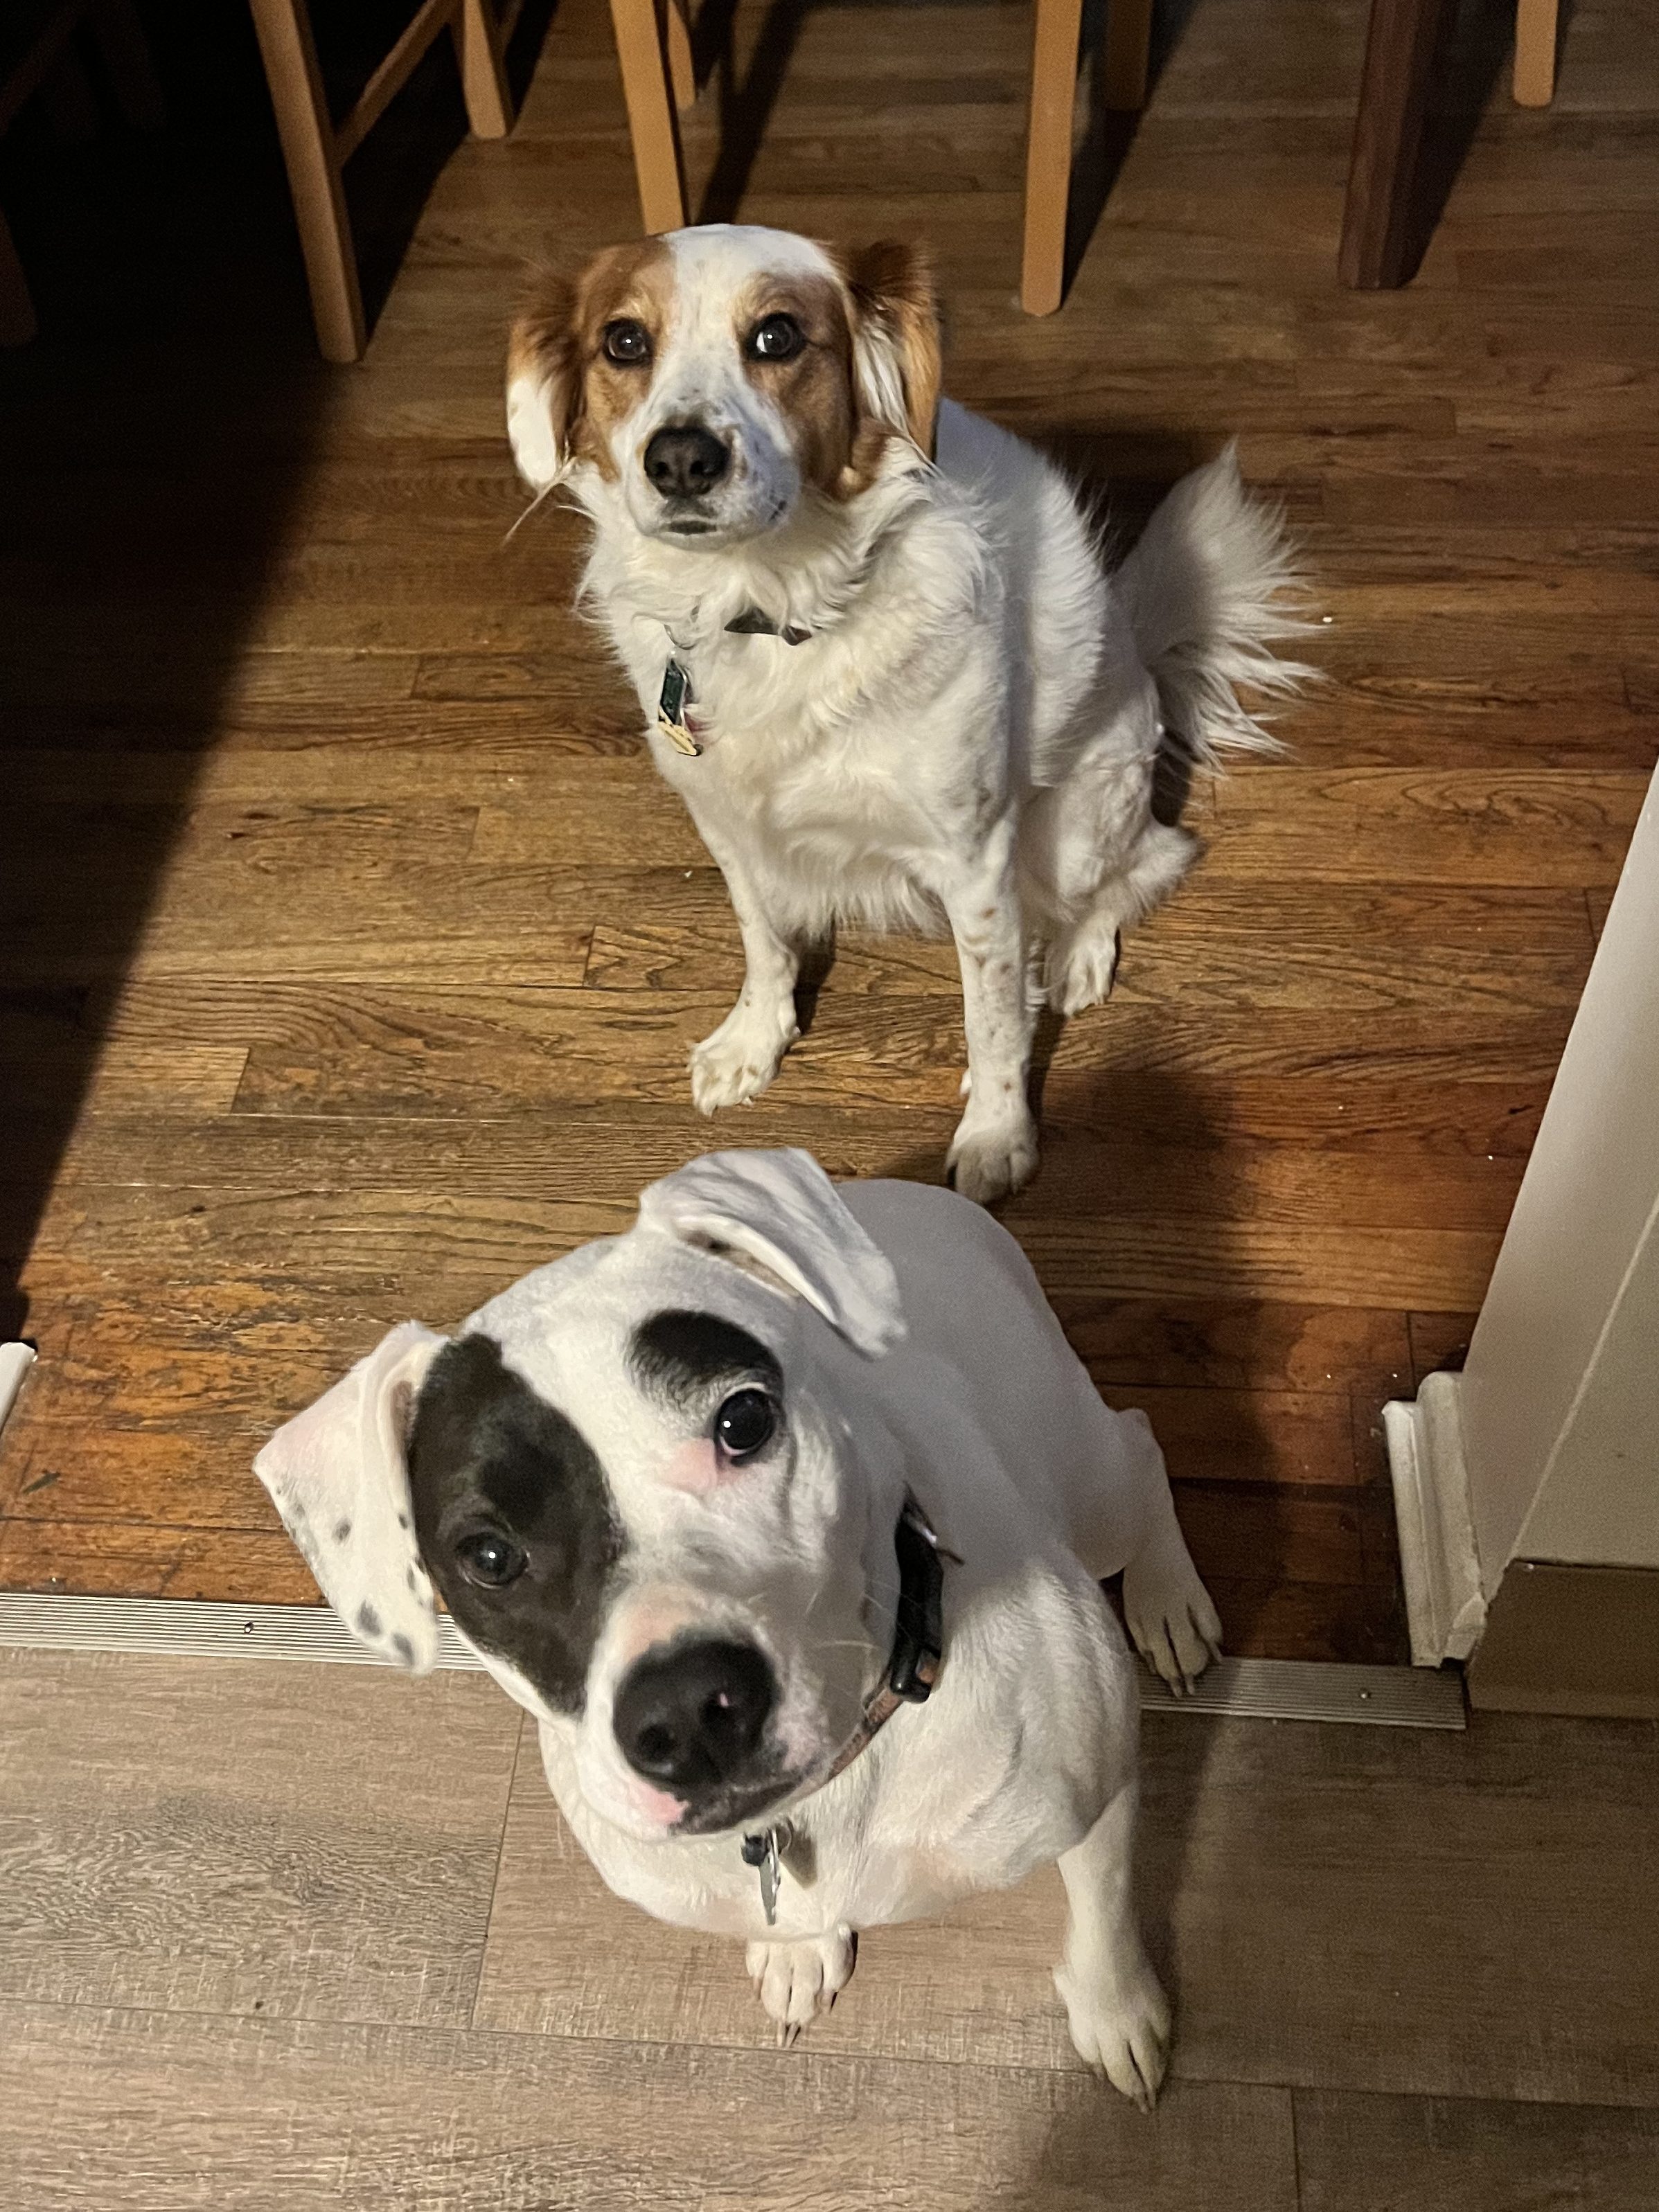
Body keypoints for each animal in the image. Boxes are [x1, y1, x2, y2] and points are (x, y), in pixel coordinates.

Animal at [256, 1147, 1223, 2104]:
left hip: (1090, 1479)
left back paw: (1167, 1598)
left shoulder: (1098, 1793)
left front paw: (1116, 2010)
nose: (686, 1710)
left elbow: (1104, 1914)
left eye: (743, 1418)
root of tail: (898, 1193)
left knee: (1141, 1448)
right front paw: (797, 1950)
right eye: (488, 1554)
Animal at [505, 225, 1306, 1202]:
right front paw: (755, 1039)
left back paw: (1076, 956)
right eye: (623, 342)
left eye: (776, 336)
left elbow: (991, 1017)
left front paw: (996, 1133)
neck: (772, 605)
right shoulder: (726, 823)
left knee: (1135, 869)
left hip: (1076, 820)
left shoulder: (977, 856)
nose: (682, 459)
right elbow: (763, 938)